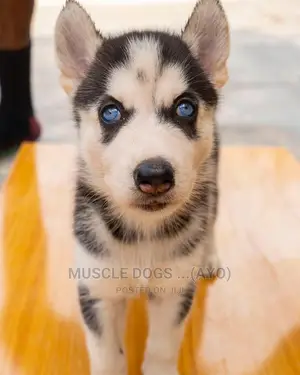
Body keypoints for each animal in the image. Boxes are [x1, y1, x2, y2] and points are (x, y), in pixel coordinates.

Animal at [54, 0, 230, 374]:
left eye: (185, 107)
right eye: (110, 112)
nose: (154, 175)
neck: (143, 232)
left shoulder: (174, 290)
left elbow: (162, 348)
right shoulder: (97, 289)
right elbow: (107, 355)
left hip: (211, 180)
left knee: (209, 219)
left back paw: (207, 255)